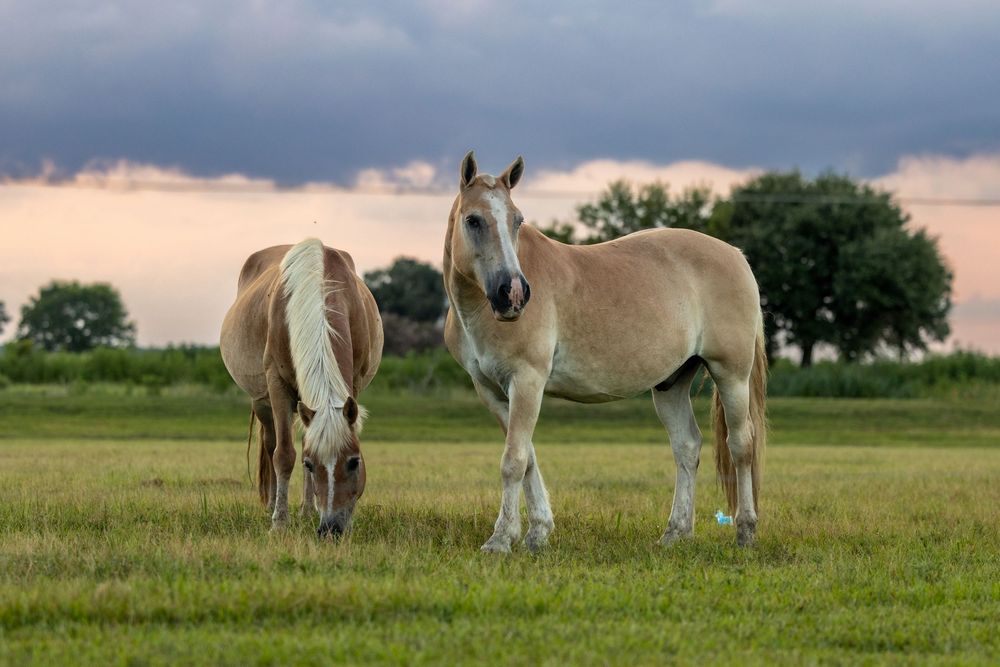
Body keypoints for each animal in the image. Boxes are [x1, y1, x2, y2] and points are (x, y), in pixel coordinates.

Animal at [220, 238, 383, 537]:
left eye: (354, 461)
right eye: (310, 464)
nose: (331, 528)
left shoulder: (352, 384)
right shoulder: (277, 385)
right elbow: (283, 454)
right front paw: (279, 523)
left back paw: (307, 510)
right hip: (262, 403)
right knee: (271, 442)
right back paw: (271, 505)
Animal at [443, 152, 767, 552]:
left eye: (517, 220)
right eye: (473, 220)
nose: (513, 294)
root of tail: (735, 255)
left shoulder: (527, 381)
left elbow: (514, 459)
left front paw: (501, 539)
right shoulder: (491, 390)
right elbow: (528, 456)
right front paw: (537, 532)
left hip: (731, 374)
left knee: (741, 445)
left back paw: (745, 531)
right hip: (671, 384)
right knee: (687, 447)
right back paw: (674, 534)